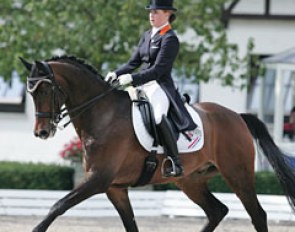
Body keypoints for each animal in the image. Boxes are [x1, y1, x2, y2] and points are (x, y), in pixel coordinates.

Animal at [20, 56, 295, 232]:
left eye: (45, 91)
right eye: (31, 93)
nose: (42, 132)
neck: (102, 114)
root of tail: (237, 116)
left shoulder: (98, 180)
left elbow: (57, 206)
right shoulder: (115, 188)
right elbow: (130, 225)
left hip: (237, 174)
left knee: (257, 215)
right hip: (191, 180)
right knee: (217, 211)